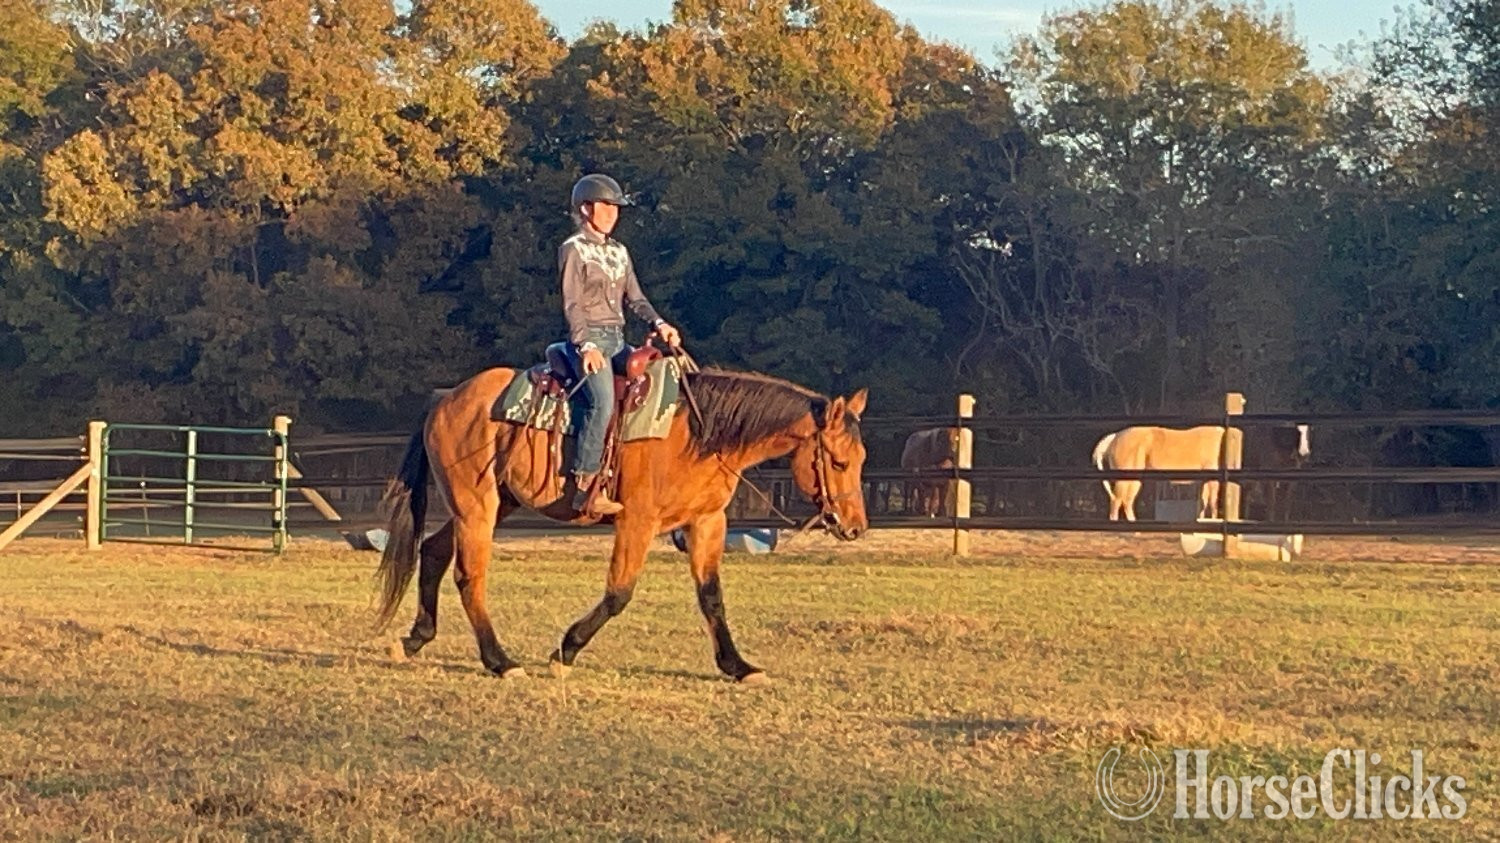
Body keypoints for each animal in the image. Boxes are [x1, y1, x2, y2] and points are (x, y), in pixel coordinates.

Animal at [372, 364, 870, 682]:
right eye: (839, 461)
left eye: (861, 459)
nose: (855, 528)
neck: (697, 434)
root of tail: (448, 399)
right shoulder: (637, 521)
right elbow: (618, 594)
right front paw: (565, 650)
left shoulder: (707, 522)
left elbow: (712, 598)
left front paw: (738, 667)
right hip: (476, 506)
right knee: (469, 575)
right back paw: (500, 661)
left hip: (491, 503)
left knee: (434, 552)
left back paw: (415, 639)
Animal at [1092, 424, 1309, 521]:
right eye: (1294, 436)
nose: (1303, 455)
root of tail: (1114, 437)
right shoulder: (1213, 479)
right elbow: (1212, 503)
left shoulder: (1207, 480)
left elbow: (1205, 503)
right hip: (1127, 477)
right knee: (1117, 501)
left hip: (1135, 478)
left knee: (1126, 502)